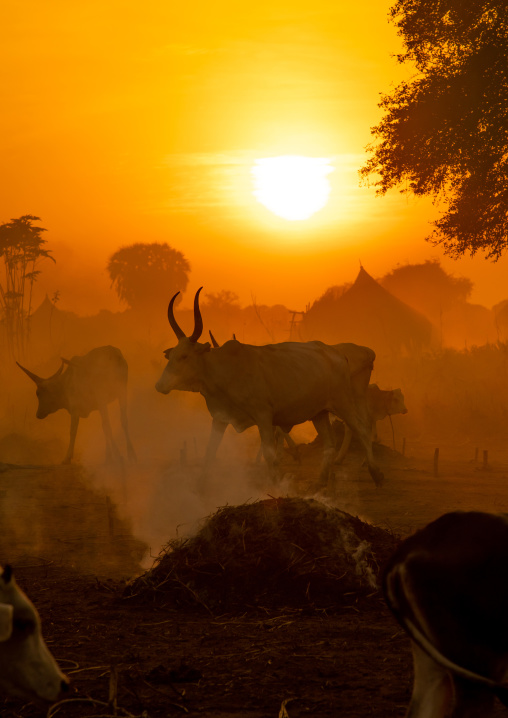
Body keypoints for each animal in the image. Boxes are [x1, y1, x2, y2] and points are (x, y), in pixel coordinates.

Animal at [155, 288, 383, 487]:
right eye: (172, 355)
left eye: (184, 356)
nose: (160, 385)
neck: (226, 370)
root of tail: (338, 354)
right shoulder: (220, 418)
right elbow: (210, 452)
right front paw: (200, 486)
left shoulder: (264, 416)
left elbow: (269, 454)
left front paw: (275, 484)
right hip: (319, 413)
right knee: (329, 443)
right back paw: (320, 481)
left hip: (344, 403)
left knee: (362, 429)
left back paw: (376, 473)